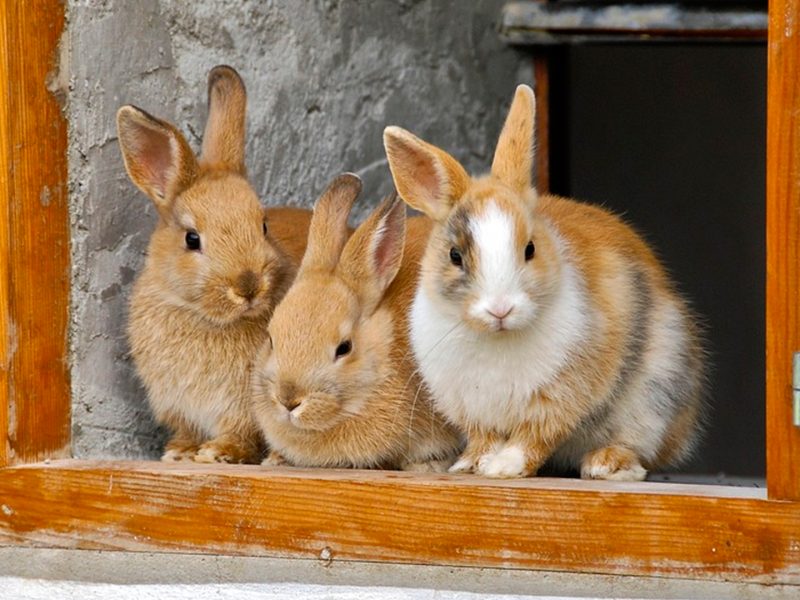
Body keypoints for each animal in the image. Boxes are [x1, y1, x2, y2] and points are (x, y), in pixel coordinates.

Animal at [116, 65, 311, 464]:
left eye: (263, 225)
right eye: (192, 239)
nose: (248, 286)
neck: (204, 317)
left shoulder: (244, 407)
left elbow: (241, 432)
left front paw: (218, 453)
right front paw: (180, 452)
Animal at [382, 84, 707, 481]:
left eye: (530, 249)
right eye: (455, 255)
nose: (501, 309)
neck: (497, 338)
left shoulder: (559, 396)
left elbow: (535, 435)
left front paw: (504, 467)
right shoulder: (471, 408)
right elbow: (484, 437)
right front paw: (470, 465)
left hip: (655, 396)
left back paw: (605, 464)